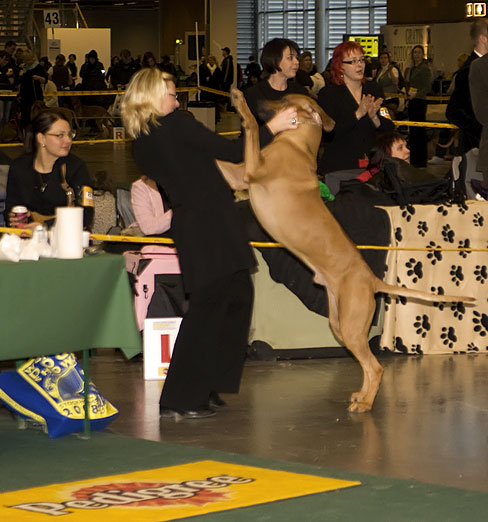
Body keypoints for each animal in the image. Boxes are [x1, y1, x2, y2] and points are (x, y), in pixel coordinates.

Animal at [218, 89, 476, 410]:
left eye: (284, 101)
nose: (260, 101)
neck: (297, 144)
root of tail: (373, 279)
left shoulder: (252, 170)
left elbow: (253, 128)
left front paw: (241, 105)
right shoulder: (239, 176)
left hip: (351, 325)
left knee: (375, 367)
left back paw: (365, 403)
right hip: (340, 324)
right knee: (366, 364)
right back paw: (361, 396)